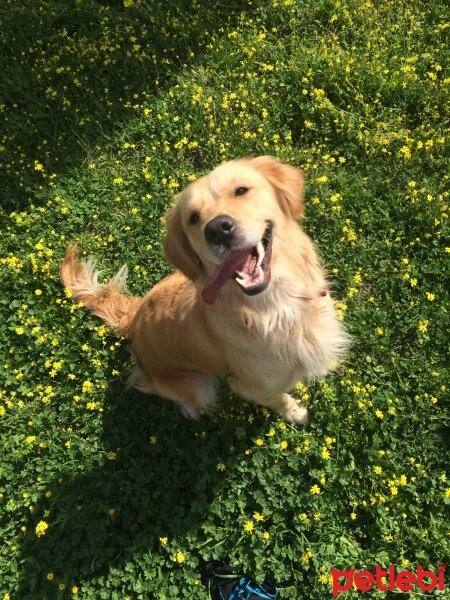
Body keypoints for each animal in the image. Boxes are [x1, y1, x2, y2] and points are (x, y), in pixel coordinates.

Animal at [60, 157, 348, 424]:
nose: (218, 229)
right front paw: (296, 413)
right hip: (198, 385)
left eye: (241, 190)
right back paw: (189, 409)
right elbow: (280, 399)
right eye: (194, 218)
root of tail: (133, 319)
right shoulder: (257, 386)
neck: (277, 307)